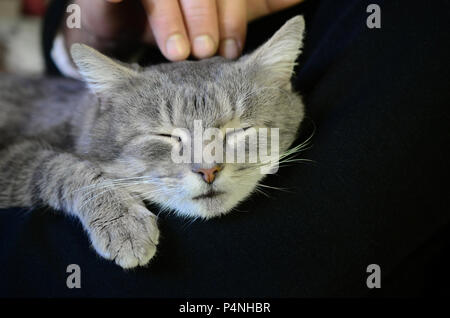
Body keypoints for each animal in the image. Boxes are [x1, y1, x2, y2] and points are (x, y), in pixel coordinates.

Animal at [0, 15, 306, 268]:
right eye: (166, 136)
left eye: (238, 130)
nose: (208, 171)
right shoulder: (12, 157)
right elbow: (64, 167)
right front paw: (121, 219)